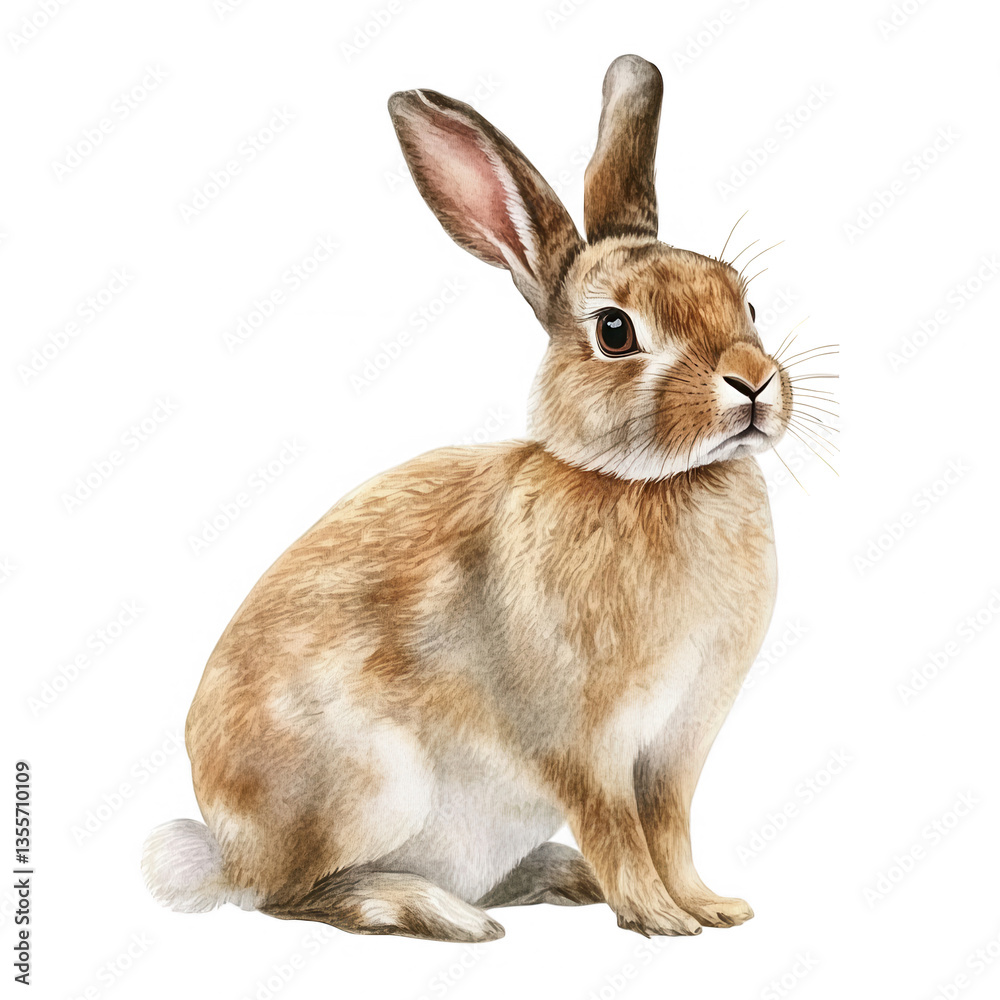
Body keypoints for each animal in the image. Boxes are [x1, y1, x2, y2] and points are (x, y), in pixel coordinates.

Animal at [143, 53, 797, 942]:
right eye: (615, 331)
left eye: (747, 301)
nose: (754, 382)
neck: (651, 483)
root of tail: (226, 851)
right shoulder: (583, 743)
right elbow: (620, 829)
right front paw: (660, 918)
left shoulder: (675, 746)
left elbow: (669, 827)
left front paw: (710, 907)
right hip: (371, 789)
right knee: (292, 897)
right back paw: (434, 910)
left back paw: (555, 877)